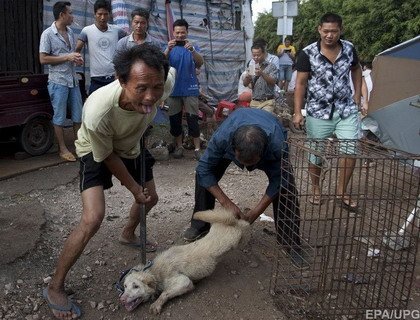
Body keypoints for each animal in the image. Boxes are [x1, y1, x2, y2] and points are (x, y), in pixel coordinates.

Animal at [118, 208, 249, 316]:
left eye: (136, 286)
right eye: (125, 286)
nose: (122, 300)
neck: (155, 272)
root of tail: (230, 222)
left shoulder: (184, 281)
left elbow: (165, 293)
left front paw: (157, 304)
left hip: (234, 239)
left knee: (244, 225)